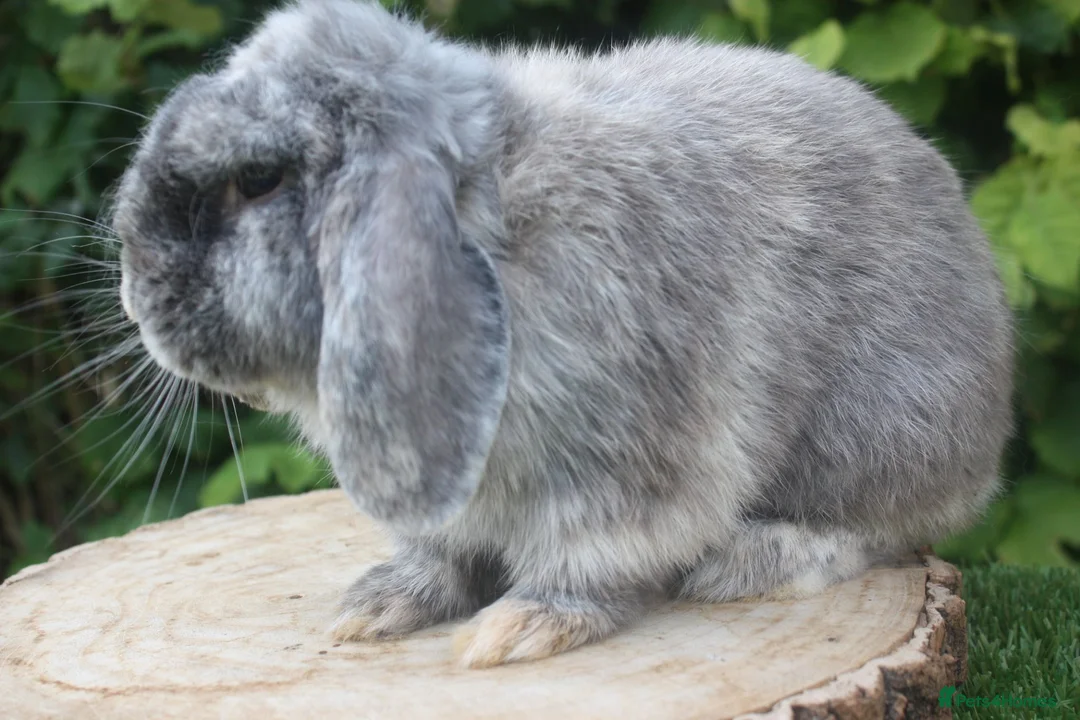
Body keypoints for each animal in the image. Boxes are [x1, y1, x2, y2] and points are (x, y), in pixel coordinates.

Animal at [111, 0, 1015, 668]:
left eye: (258, 181)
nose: (131, 287)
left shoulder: (633, 459)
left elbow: (592, 556)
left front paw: (517, 632)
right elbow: (438, 555)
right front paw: (375, 608)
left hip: (879, 432)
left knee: (878, 529)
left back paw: (745, 564)